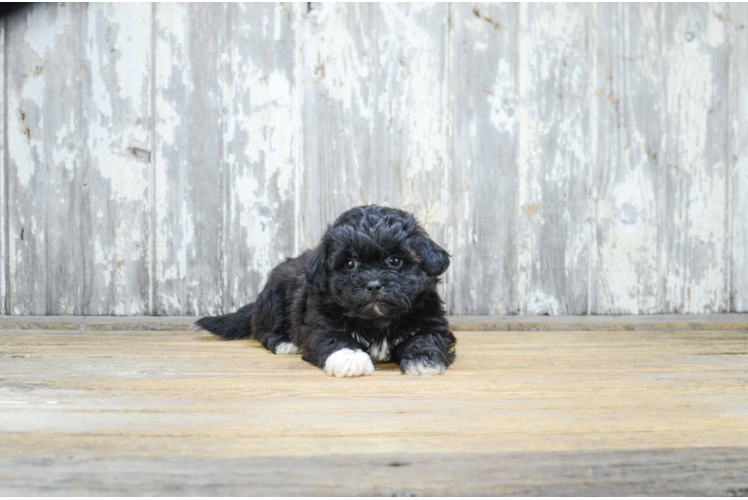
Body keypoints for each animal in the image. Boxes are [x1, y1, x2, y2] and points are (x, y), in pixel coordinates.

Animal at [193, 205, 456, 376]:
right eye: (350, 264)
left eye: (395, 261)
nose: (373, 284)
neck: (376, 320)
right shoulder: (319, 323)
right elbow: (334, 338)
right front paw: (350, 359)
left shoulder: (432, 320)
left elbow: (427, 337)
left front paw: (423, 359)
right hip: (275, 299)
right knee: (264, 331)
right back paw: (285, 343)